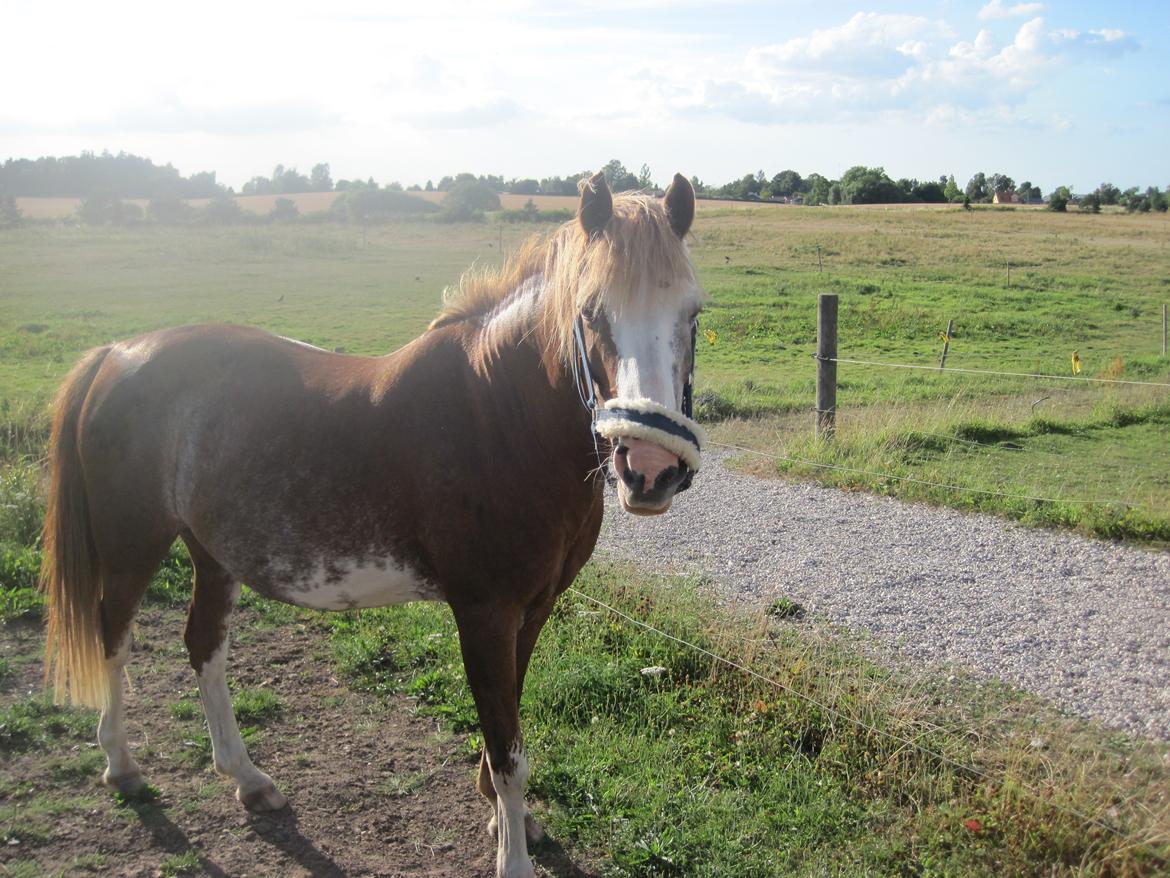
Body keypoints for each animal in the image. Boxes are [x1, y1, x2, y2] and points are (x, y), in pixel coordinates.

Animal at [38, 168, 702, 875]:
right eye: (590, 312)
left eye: (693, 313)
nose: (650, 469)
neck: (499, 415)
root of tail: (115, 354)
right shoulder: (485, 614)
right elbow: (509, 752)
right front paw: (512, 855)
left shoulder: (533, 610)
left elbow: (507, 729)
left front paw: (512, 822)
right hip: (132, 546)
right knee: (114, 639)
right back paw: (122, 766)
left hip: (213, 555)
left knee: (204, 648)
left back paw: (248, 779)